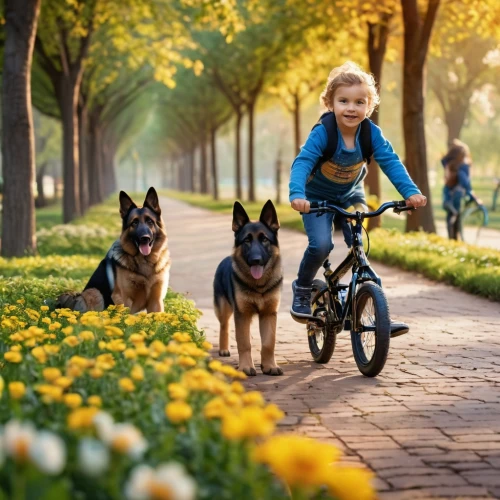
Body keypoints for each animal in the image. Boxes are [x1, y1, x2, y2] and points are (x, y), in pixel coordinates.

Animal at [213, 199, 284, 376]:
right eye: (247, 240)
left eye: (264, 239)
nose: (255, 260)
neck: (259, 286)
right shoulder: (242, 315)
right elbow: (244, 343)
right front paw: (245, 367)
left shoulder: (268, 314)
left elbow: (268, 343)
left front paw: (269, 366)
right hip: (224, 308)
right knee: (224, 326)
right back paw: (223, 349)